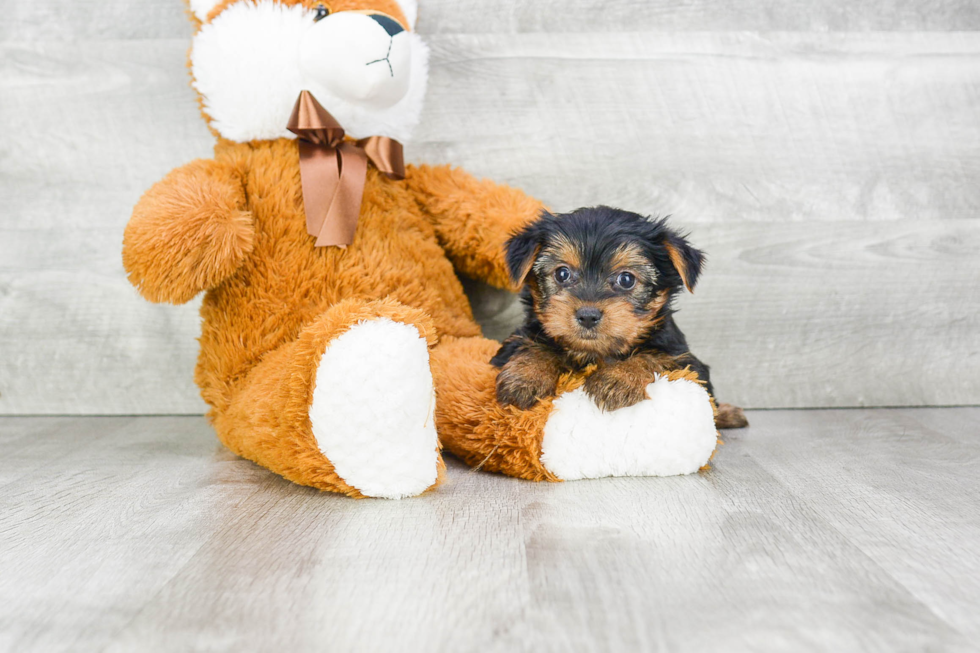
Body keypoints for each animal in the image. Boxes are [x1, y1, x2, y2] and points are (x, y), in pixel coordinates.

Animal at [494, 205, 748, 428]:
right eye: (562, 274)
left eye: (626, 279)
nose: (588, 315)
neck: (593, 354)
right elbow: (533, 344)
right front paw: (526, 376)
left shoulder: (685, 359)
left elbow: (654, 356)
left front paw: (618, 379)